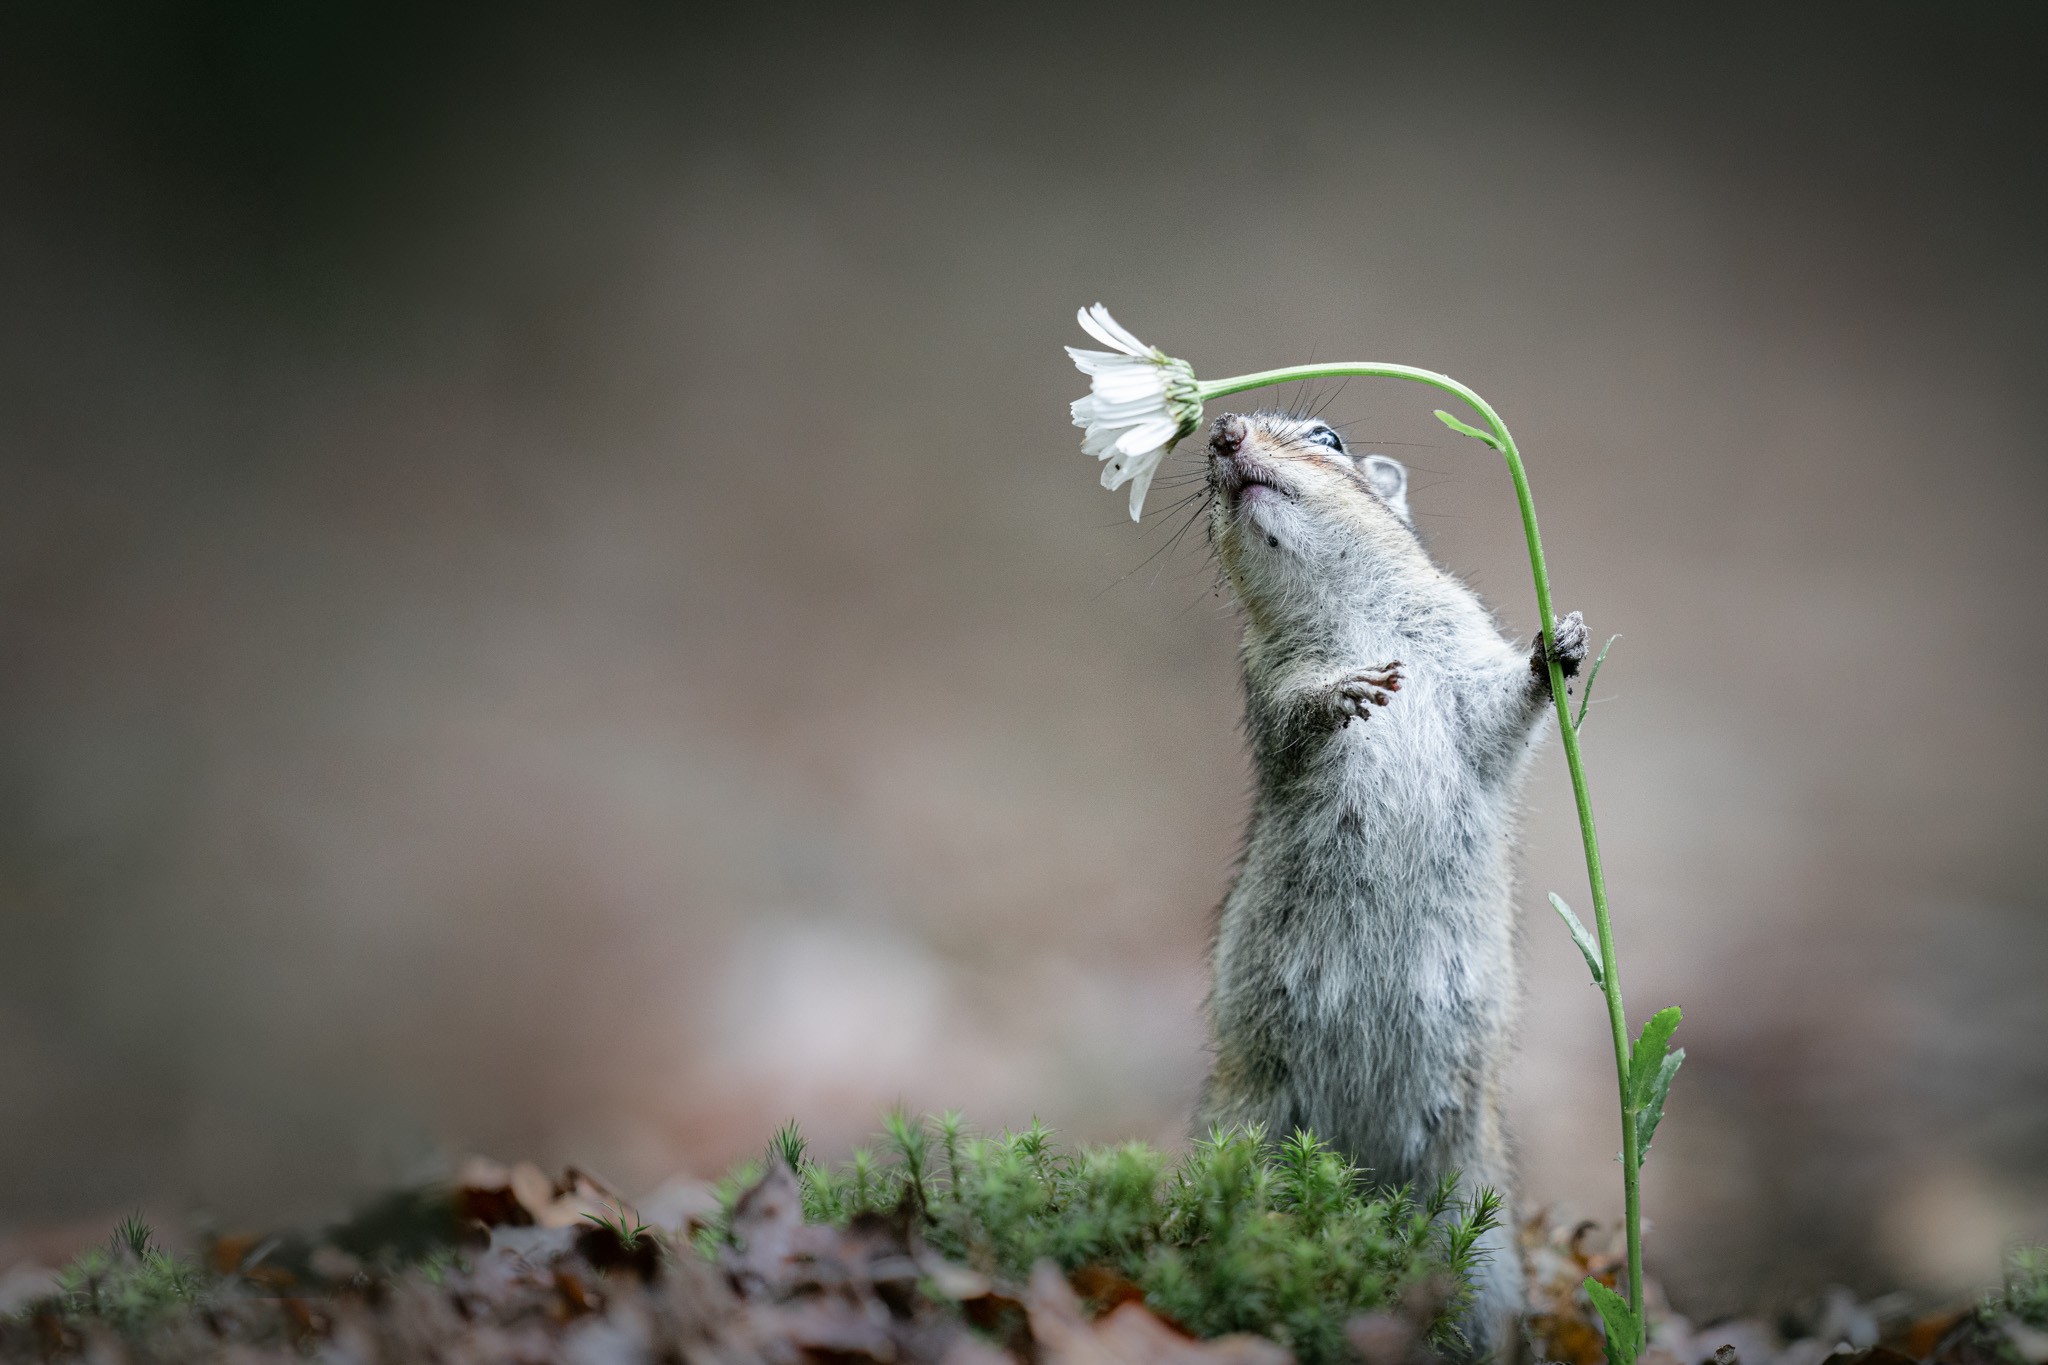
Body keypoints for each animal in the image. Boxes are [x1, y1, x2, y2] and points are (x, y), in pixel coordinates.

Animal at [1195, 410, 1587, 1359]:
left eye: (1327, 436)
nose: (1222, 429)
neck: (1355, 613)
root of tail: (1357, 1179)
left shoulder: (1468, 668)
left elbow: (1504, 714)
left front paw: (1556, 649)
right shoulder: (1263, 687)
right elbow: (1296, 719)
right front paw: (1341, 689)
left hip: (1471, 1213)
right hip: (1247, 1129)